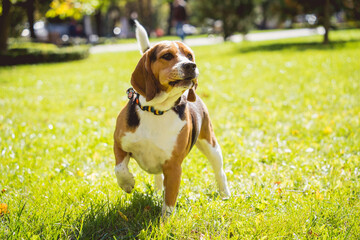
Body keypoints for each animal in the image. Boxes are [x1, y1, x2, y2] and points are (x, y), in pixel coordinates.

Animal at [113, 21, 231, 218]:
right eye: (167, 56)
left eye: (189, 55)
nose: (191, 65)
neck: (156, 110)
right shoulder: (119, 145)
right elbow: (119, 169)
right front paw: (127, 183)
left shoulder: (174, 166)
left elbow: (169, 202)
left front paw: (164, 223)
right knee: (157, 176)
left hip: (211, 144)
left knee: (219, 171)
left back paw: (225, 195)